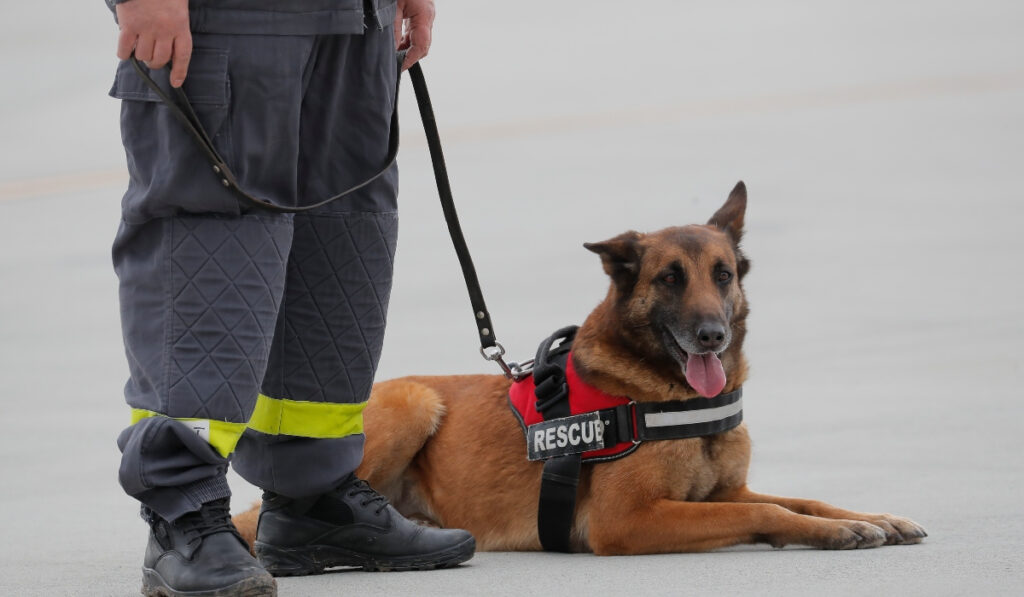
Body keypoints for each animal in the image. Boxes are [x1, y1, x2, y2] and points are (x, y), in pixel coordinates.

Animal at [235, 183, 925, 557]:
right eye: (669, 279)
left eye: (723, 275)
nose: (712, 335)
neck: (665, 390)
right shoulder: (630, 522)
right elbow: (768, 515)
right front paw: (837, 532)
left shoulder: (722, 491)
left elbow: (802, 499)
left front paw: (868, 519)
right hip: (412, 402)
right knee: (264, 518)